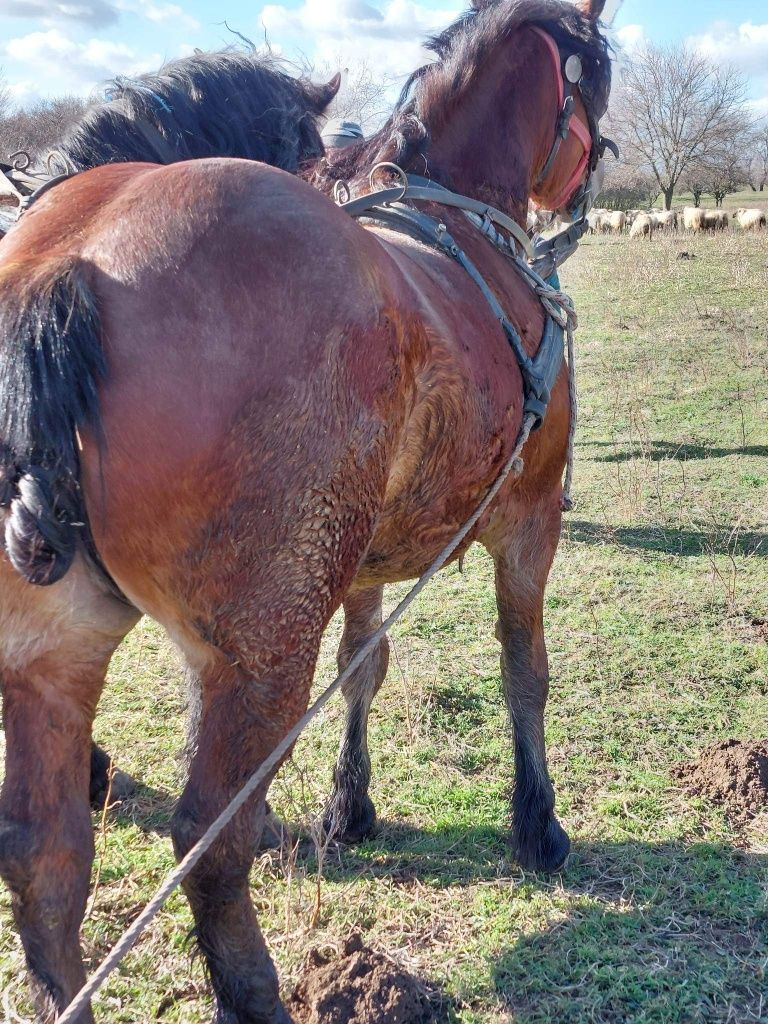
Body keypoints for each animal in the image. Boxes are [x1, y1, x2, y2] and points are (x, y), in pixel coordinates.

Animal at [0, 4, 614, 1019]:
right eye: (594, 80)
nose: (597, 167)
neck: (455, 221)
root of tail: (67, 260)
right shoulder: (532, 518)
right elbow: (524, 670)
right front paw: (539, 824)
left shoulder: (362, 557)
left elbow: (364, 669)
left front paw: (349, 806)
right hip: (263, 650)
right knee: (209, 841)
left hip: (54, 652)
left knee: (44, 858)